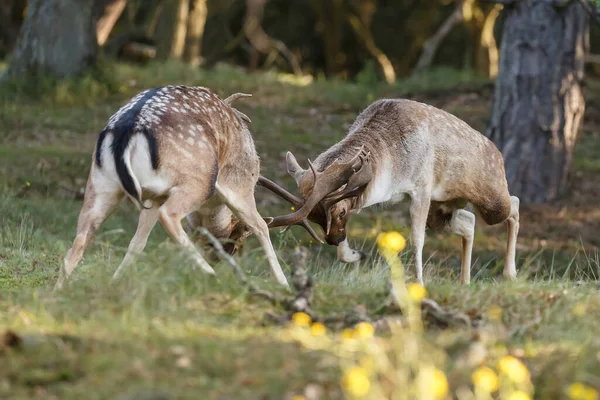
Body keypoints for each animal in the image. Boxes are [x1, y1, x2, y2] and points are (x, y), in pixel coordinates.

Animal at [56, 85, 290, 290]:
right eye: (232, 246)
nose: (216, 261)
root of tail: (127, 131)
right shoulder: (240, 183)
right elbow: (260, 226)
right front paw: (283, 284)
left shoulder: (153, 197)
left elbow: (138, 242)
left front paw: (116, 282)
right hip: (199, 181)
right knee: (170, 215)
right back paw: (211, 275)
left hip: (101, 184)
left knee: (76, 246)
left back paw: (57, 293)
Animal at [262, 97, 520, 284]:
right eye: (316, 220)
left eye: (340, 212)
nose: (333, 239)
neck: (392, 172)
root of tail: (498, 155)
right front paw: (355, 255)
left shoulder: (422, 188)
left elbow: (417, 241)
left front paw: (419, 284)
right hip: (443, 209)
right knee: (469, 221)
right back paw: (465, 282)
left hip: (492, 198)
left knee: (514, 204)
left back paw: (510, 274)